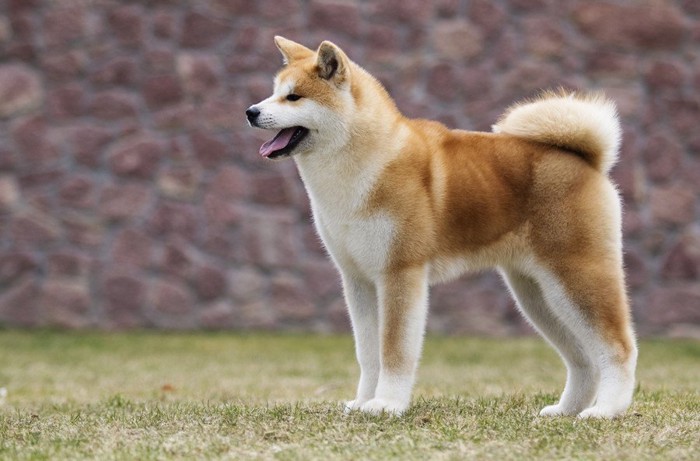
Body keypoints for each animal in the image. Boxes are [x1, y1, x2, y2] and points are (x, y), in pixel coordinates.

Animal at [246, 36, 636, 416]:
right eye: (273, 92)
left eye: (294, 96)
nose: (251, 111)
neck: (364, 164)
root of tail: (586, 160)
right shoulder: (358, 280)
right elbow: (368, 354)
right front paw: (362, 403)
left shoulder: (400, 273)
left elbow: (394, 351)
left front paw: (387, 404)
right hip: (537, 294)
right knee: (582, 358)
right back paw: (565, 409)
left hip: (576, 277)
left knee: (619, 347)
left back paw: (606, 410)